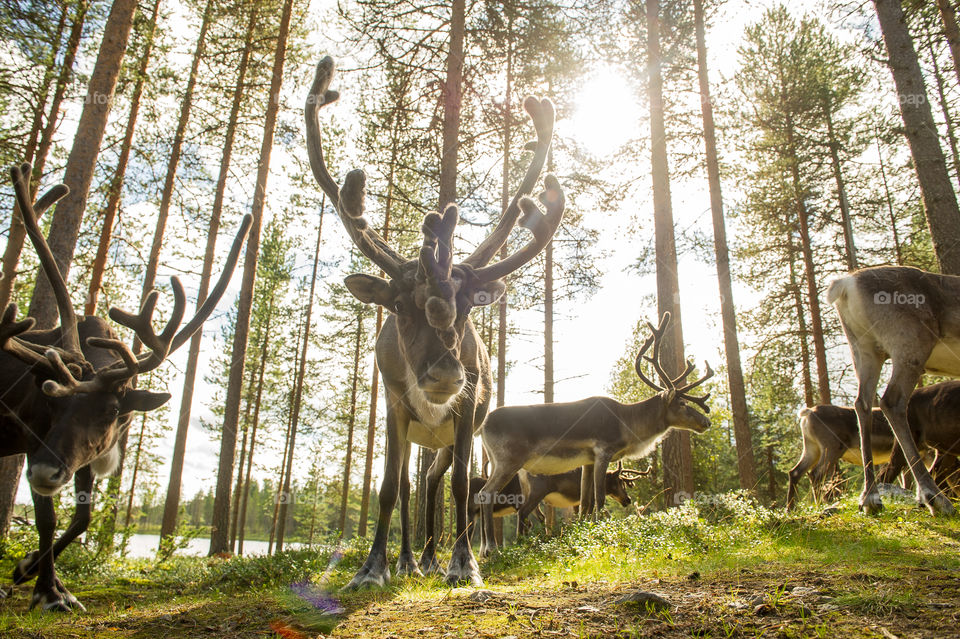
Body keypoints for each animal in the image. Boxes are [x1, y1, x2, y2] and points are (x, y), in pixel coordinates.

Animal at [0, 163, 250, 612]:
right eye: (49, 401)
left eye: (114, 411)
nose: (45, 471)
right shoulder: (35, 440)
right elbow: (47, 518)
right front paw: (48, 591)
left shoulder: (83, 454)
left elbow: (81, 518)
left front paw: (32, 571)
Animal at [305, 56, 564, 588]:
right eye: (400, 307)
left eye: (468, 309)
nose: (445, 373)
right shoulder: (394, 405)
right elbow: (387, 486)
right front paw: (371, 569)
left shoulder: (469, 409)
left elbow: (463, 485)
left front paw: (464, 563)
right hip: (415, 432)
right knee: (410, 484)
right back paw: (408, 559)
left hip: (442, 438)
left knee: (432, 481)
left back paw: (428, 557)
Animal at [477, 312, 712, 542]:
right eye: (682, 403)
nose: (706, 421)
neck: (627, 426)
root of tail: (483, 425)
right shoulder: (603, 451)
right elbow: (599, 499)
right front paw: (600, 533)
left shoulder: (587, 460)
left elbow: (585, 502)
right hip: (509, 461)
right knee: (487, 494)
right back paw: (491, 547)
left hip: (504, 466)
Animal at [828, 265, 960, 515]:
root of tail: (845, 285)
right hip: (910, 345)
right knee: (891, 401)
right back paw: (935, 499)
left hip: (865, 349)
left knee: (863, 403)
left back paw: (870, 498)